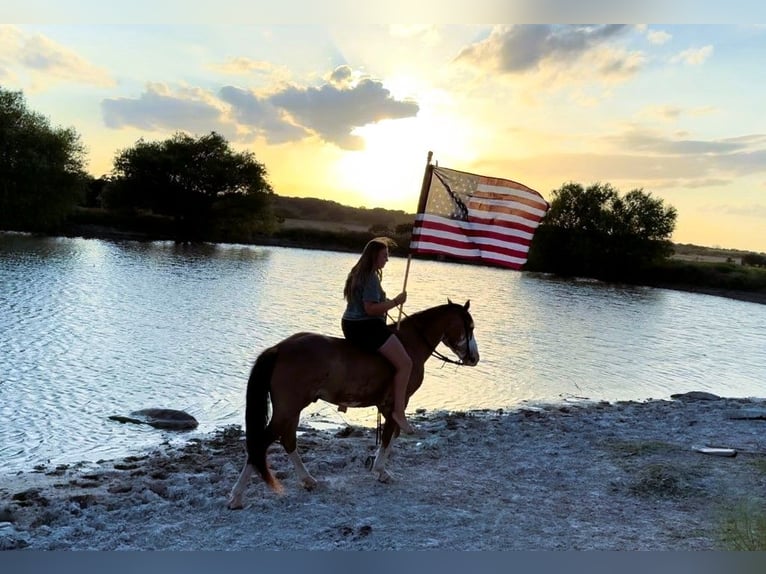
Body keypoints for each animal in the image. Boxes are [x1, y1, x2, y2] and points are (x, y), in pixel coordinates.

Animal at [228, 300, 480, 510]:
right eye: (470, 326)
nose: (474, 358)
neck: (409, 344)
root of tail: (280, 348)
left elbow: (389, 436)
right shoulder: (396, 405)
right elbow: (389, 437)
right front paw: (381, 472)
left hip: (291, 410)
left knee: (287, 440)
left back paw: (307, 480)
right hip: (288, 409)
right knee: (261, 444)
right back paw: (237, 496)